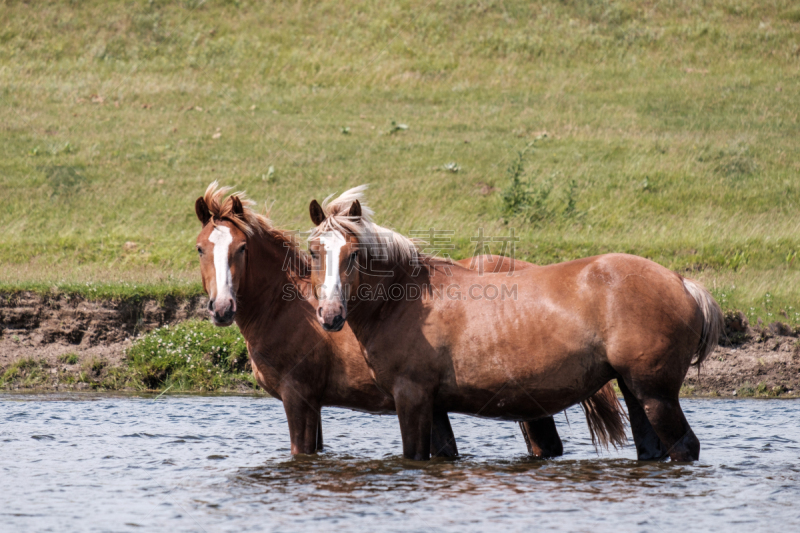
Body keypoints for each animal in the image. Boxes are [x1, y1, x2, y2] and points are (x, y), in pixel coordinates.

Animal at [308, 185, 724, 460]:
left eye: (353, 254)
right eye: (313, 252)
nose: (330, 314)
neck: (405, 300)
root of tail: (681, 282)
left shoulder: (410, 397)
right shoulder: (434, 404)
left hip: (656, 393)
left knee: (684, 446)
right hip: (634, 390)